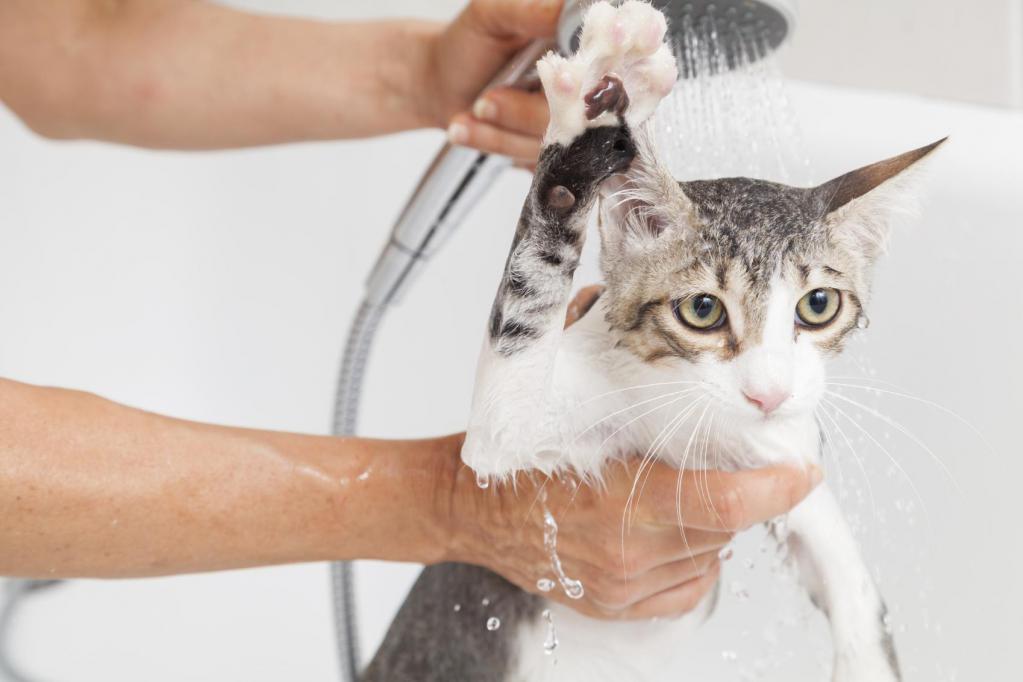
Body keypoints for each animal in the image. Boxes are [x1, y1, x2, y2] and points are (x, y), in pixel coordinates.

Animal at [362, 1, 941, 682]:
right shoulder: (509, 431)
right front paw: (592, 110)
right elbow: (527, 313)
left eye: (818, 305)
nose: (768, 394)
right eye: (702, 310)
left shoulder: (792, 457)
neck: (701, 428)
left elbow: (850, 579)